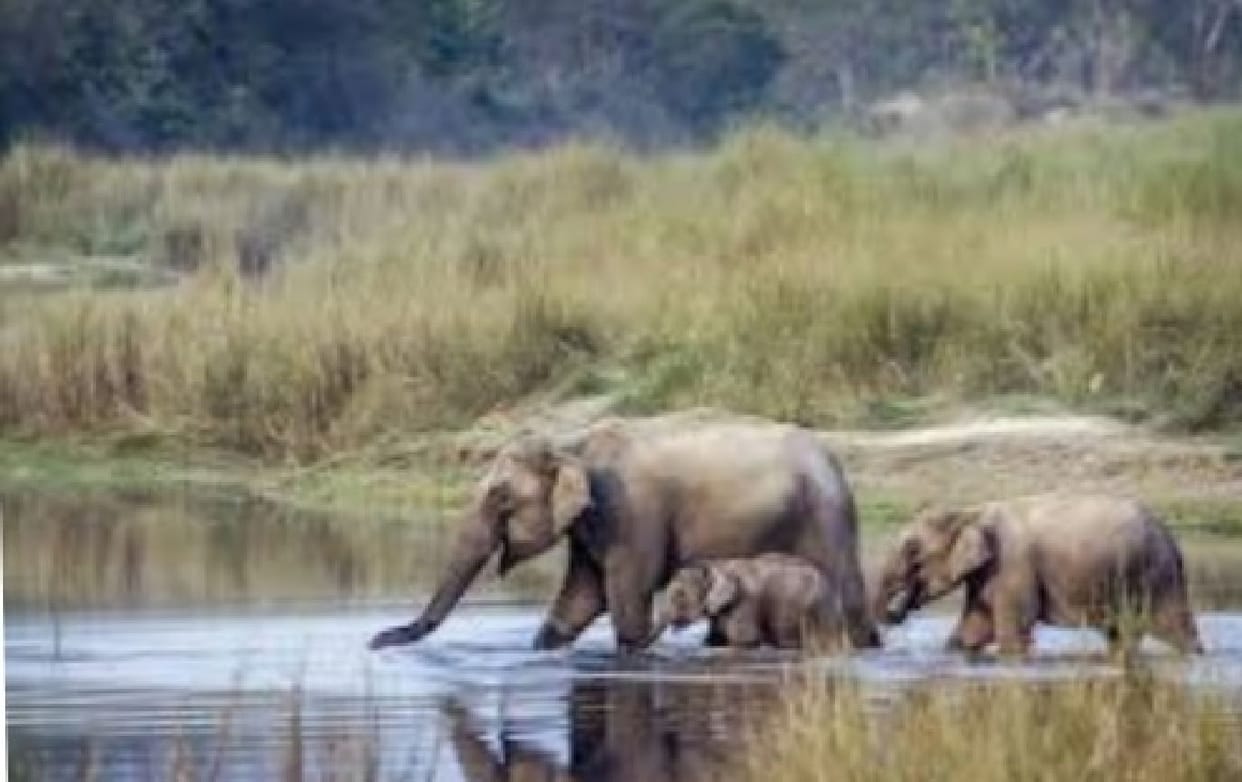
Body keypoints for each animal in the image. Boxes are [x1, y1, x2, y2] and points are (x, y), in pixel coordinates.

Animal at [873, 493, 1203, 656]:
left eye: (912, 550)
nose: (894, 615)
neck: (971, 511)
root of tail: (1171, 538)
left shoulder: (1012, 563)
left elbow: (1013, 631)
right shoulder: (988, 572)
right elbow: (974, 629)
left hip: (1155, 575)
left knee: (1176, 629)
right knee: (1122, 635)